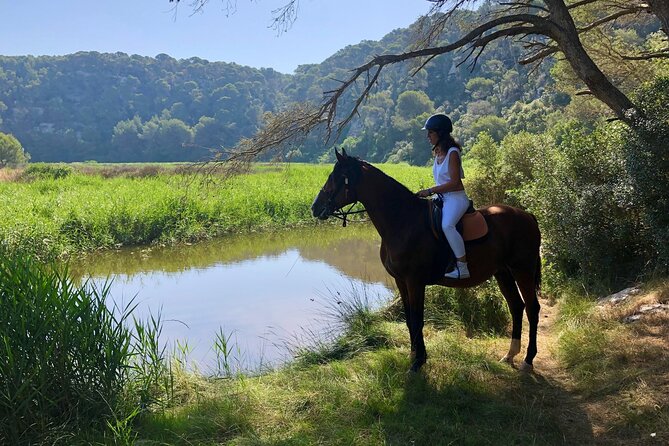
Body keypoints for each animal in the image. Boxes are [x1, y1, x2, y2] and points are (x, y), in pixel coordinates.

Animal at [310, 150, 540, 372]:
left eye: (337, 177)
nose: (314, 207)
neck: (402, 221)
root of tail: (527, 215)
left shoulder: (415, 282)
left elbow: (418, 319)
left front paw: (418, 362)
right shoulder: (401, 281)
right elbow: (409, 320)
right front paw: (415, 355)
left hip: (523, 270)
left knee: (532, 309)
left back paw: (528, 360)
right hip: (503, 272)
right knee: (516, 306)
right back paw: (510, 354)